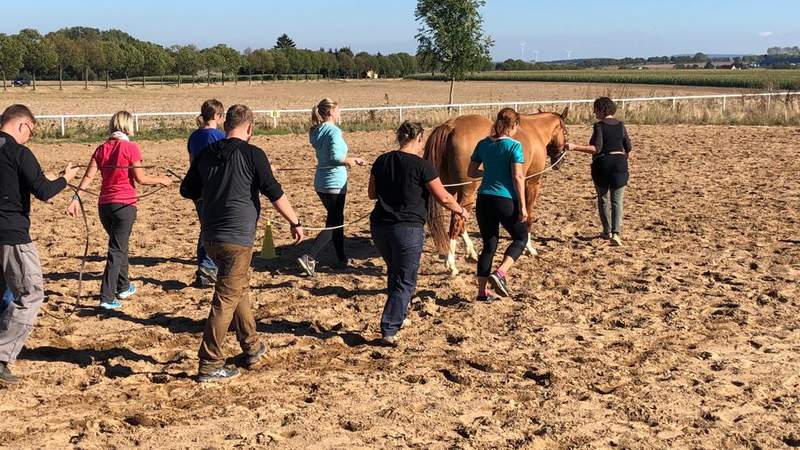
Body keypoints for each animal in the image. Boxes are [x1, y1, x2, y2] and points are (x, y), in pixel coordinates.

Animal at [424, 110, 568, 278]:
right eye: (565, 132)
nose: (559, 162)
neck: (535, 131)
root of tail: (451, 126)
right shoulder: (532, 182)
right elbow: (528, 215)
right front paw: (530, 248)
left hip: (448, 189)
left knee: (459, 216)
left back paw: (469, 252)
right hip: (467, 191)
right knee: (457, 220)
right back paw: (452, 265)